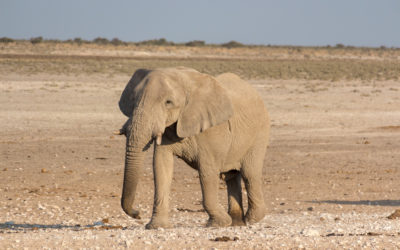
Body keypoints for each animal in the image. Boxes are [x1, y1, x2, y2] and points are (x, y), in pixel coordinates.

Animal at [117, 66, 270, 229]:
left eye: (168, 102)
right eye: (134, 100)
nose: (137, 213)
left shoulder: (211, 130)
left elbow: (207, 172)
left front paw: (218, 223)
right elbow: (161, 166)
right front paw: (157, 226)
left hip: (260, 133)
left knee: (250, 173)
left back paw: (251, 219)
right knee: (231, 176)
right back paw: (236, 223)